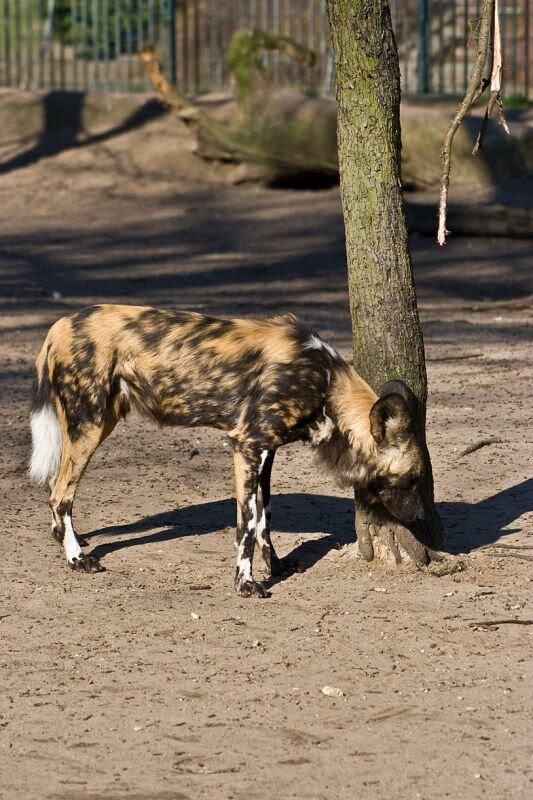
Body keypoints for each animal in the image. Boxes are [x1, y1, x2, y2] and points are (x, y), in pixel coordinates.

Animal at [31, 304, 426, 596]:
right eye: (412, 478)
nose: (422, 517)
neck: (326, 384)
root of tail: (59, 325)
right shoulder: (247, 446)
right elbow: (247, 525)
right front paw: (247, 583)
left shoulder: (266, 451)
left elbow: (265, 518)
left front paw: (276, 565)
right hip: (90, 425)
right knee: (60, 494)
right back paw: (77, 559)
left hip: (100, 422)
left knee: (55, 486)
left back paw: (66, 538)